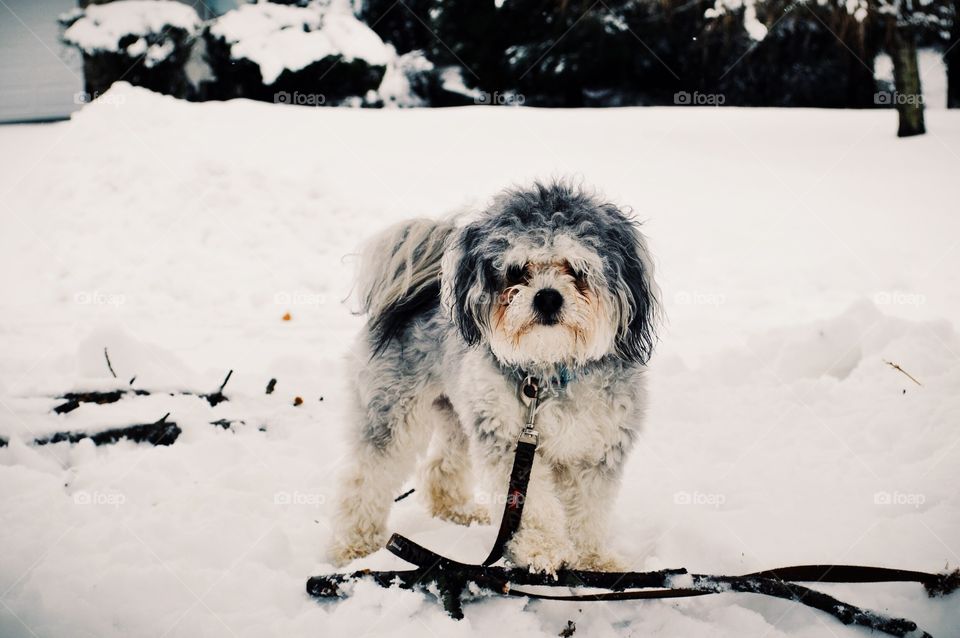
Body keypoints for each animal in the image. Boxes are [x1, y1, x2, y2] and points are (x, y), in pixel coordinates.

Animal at [332, 181, 660, 576]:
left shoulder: (598, 450)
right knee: (364, 479)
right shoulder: (508, 442)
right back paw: (355, 546)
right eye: (517, 271)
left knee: (441, 468)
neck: (551, 368)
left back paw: (456, 512)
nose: (547, 298)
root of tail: (418, 291)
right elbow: (532, 506)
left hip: (458, 413)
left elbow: (589, 513)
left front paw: (593, 560)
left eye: (576, 269)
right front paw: (541, 549)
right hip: (391, 411)